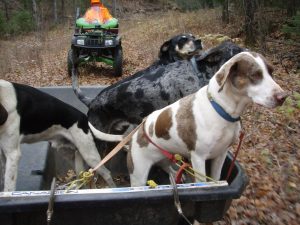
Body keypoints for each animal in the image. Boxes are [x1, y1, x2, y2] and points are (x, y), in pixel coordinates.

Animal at [88, 51, 286, 187]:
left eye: (271, 72)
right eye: (255, 75)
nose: (283, 97)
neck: (221, 110)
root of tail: (132, 134)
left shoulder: (220, 155)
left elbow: (215, 180)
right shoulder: (198, 158)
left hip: (165, 160)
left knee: (170, 172)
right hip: (138, 175)